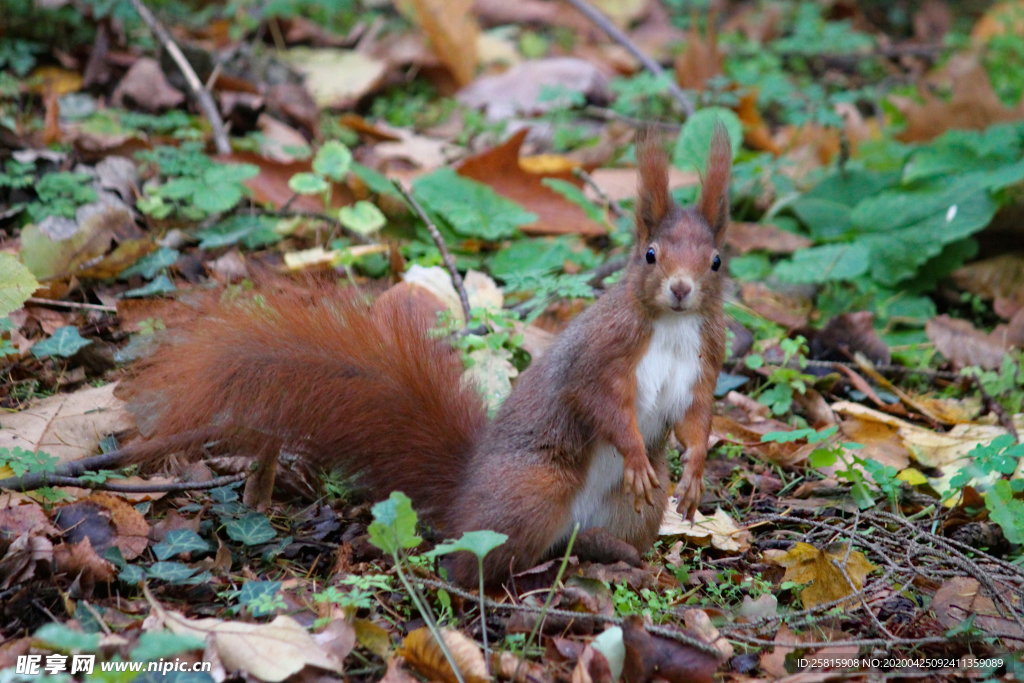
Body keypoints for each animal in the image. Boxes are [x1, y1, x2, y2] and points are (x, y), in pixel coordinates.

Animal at [117, 126, 729, 589]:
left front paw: (696, 470)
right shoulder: (600, 354)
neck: (671, 326)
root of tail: (463, 495)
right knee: (474, 559)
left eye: (717, 261)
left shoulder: (704, 364)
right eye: (650, 254)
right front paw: (634, 452)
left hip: (634, 511)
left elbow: (697, 419)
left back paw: (616, 555)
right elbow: (599, 402)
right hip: (533, 490)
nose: (680, 289)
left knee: (582, 537)